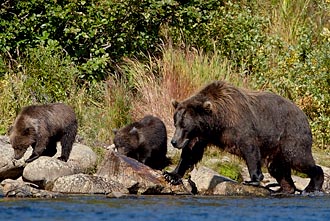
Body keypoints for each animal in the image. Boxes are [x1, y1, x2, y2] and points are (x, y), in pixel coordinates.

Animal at [164, 80, 324, 193]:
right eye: (176, 123)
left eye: (184, 126)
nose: (174, 142)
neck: (218, 121)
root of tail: (303, 114)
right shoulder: (203, 135)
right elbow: (190, 153)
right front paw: (171, 175)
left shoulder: (239, 124)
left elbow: (249, 148)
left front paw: (253, 179)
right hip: (276, 148)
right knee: (277, 168)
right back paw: (284, 190)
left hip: (290, 135)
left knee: (298, 158)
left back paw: (312, 186)